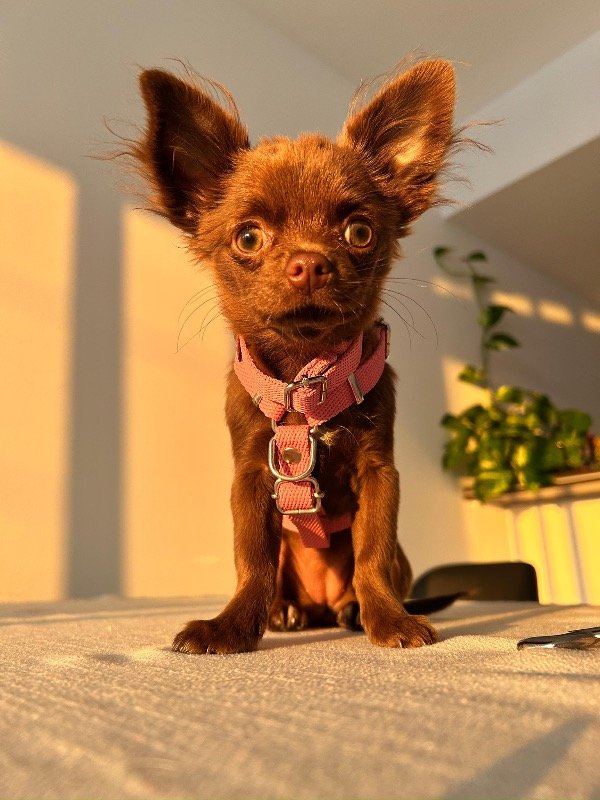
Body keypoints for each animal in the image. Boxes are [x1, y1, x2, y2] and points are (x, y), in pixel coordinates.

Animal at [123, 58, 458, 653]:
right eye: (248, 238)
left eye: (359, 231)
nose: (309, 263)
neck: (304, 378)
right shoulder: (253, 480)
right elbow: (253, 562)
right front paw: (231, 627)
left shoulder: (380, 475)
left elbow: (372, 556)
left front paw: (389, 621)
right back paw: (286, 612)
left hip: (398, 558)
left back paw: (351, 610)